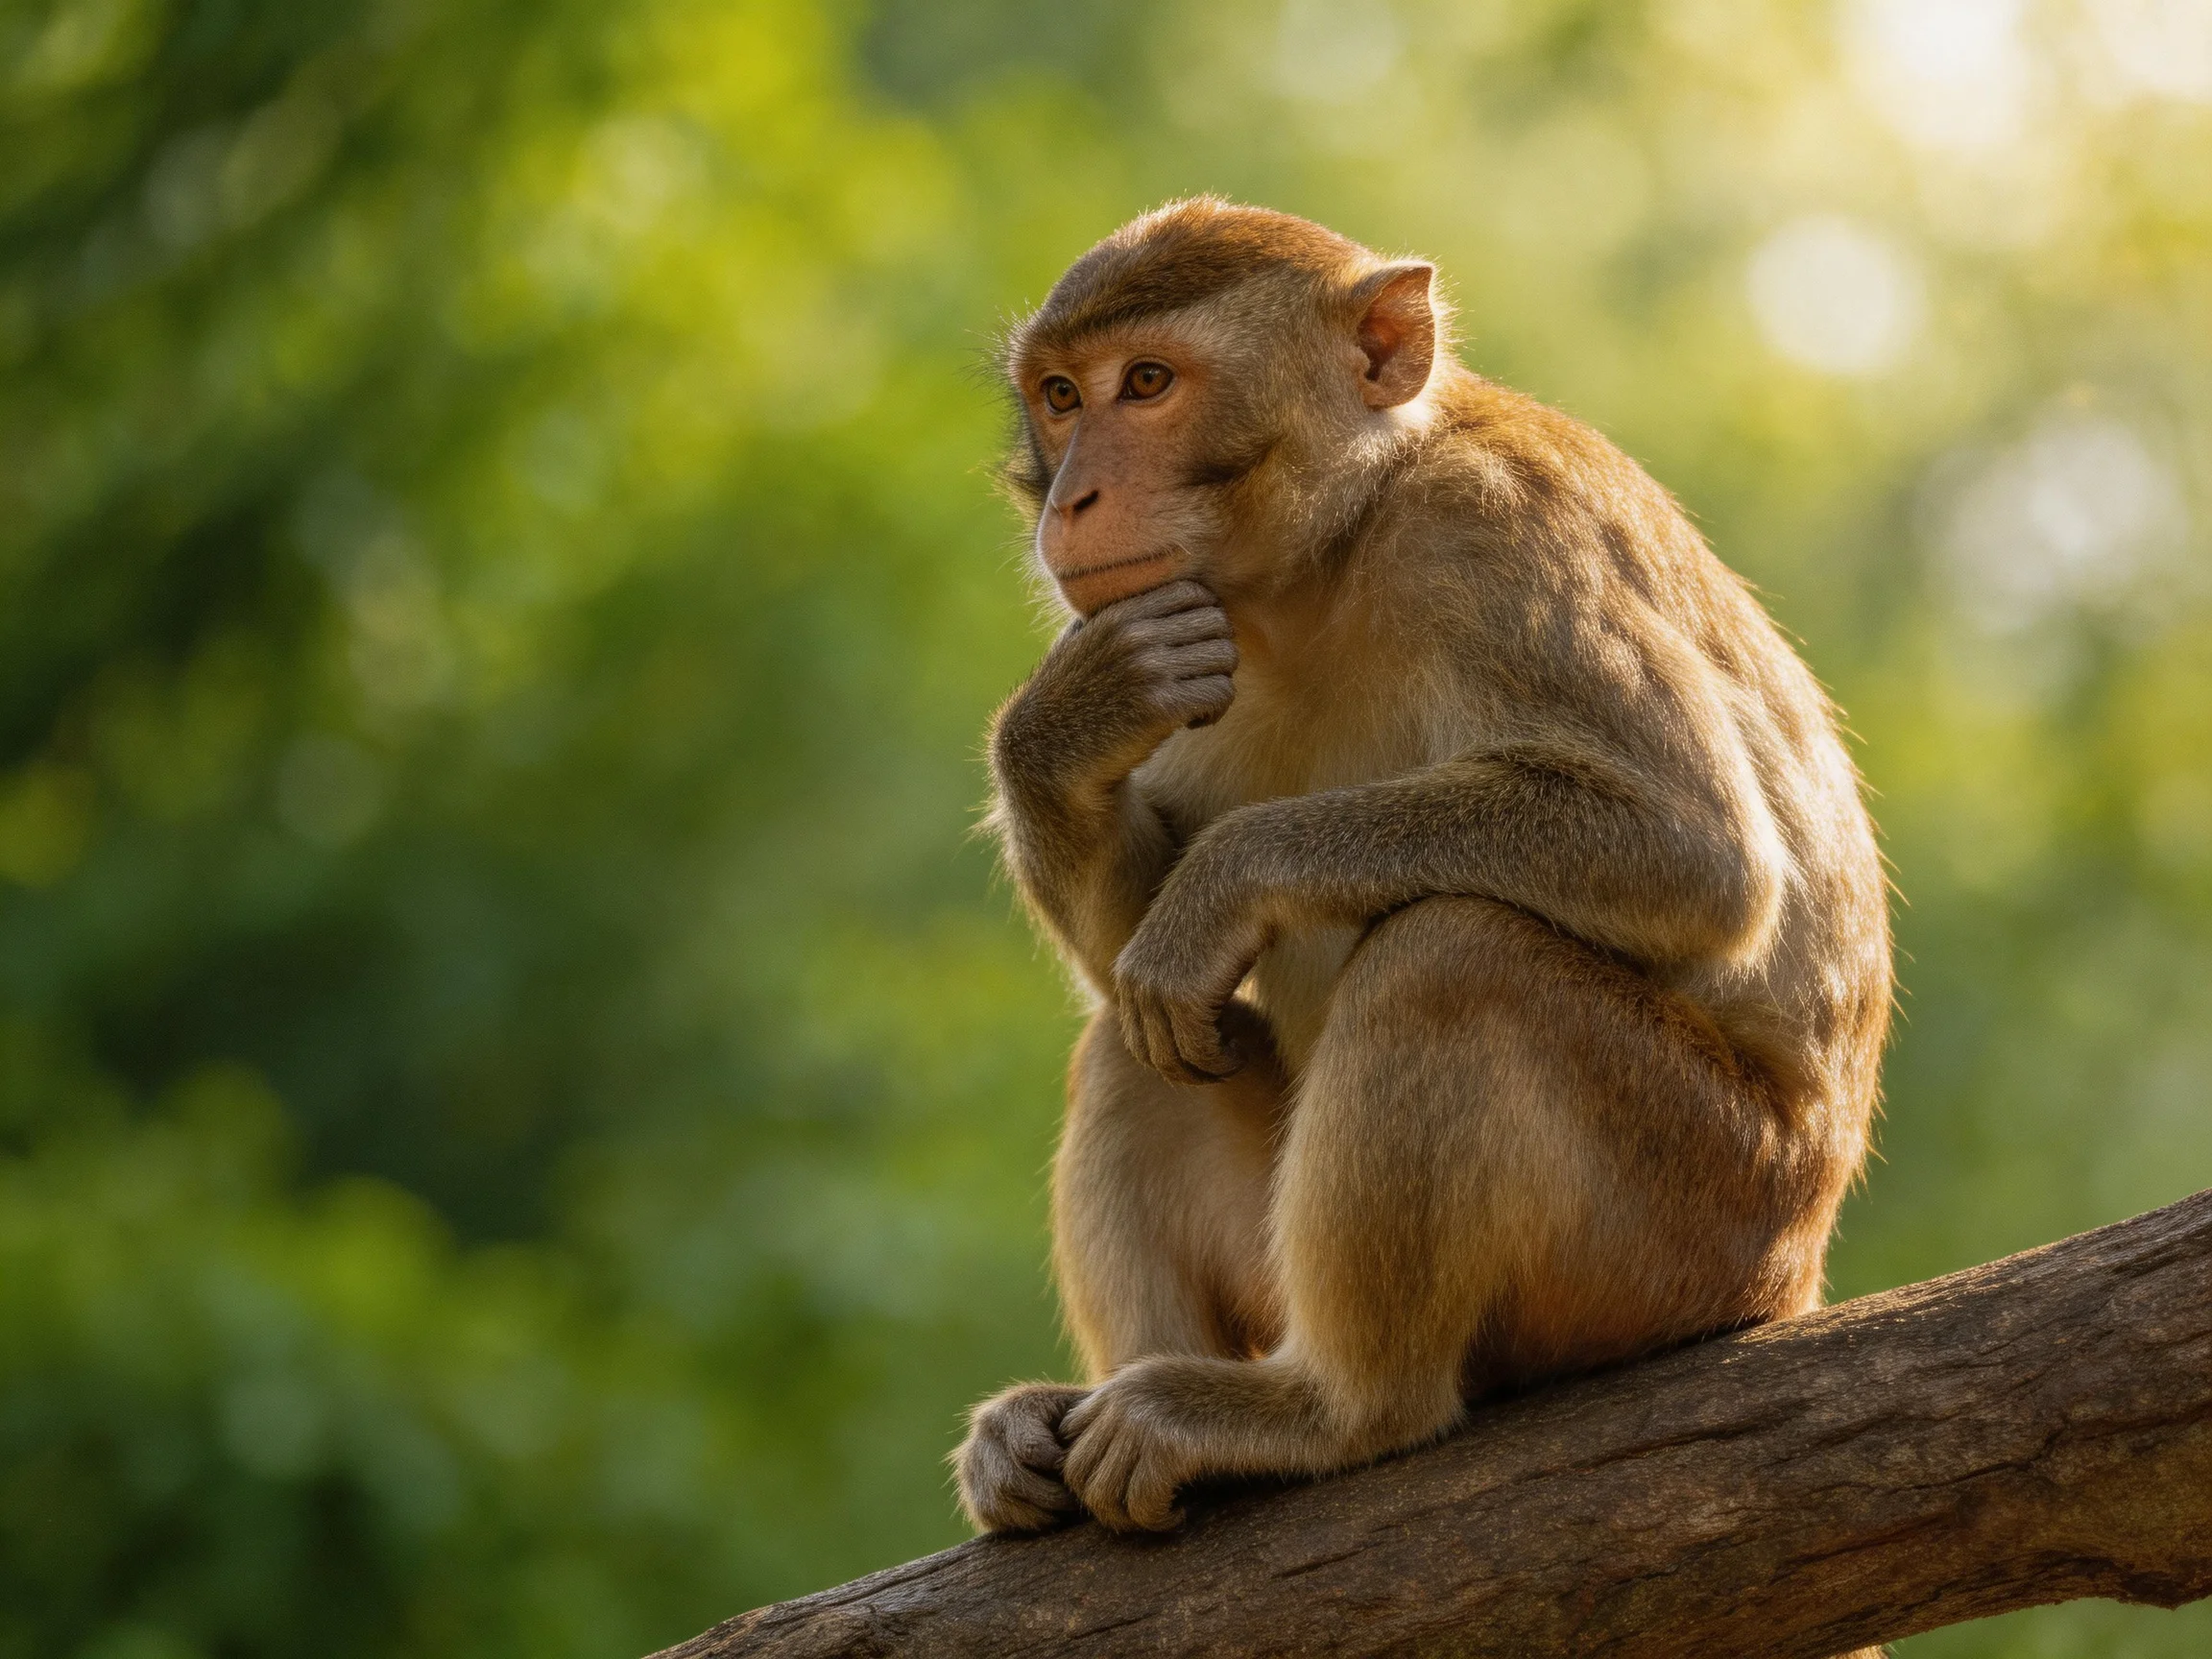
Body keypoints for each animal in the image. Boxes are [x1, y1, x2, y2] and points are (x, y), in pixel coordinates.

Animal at [954, 199, 1892, 1560]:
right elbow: (1142, 974)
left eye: (1149, 384)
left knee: (1454, 956)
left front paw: (1223, 885)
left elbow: (1698, 854)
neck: (1333, 550)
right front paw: (1062, 727)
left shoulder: (1490, 533)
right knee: (1135, 1042)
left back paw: (1336, 1410)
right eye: (1063, 395)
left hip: (1696, 1218)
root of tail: (1796, 1269)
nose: (1072, 496)